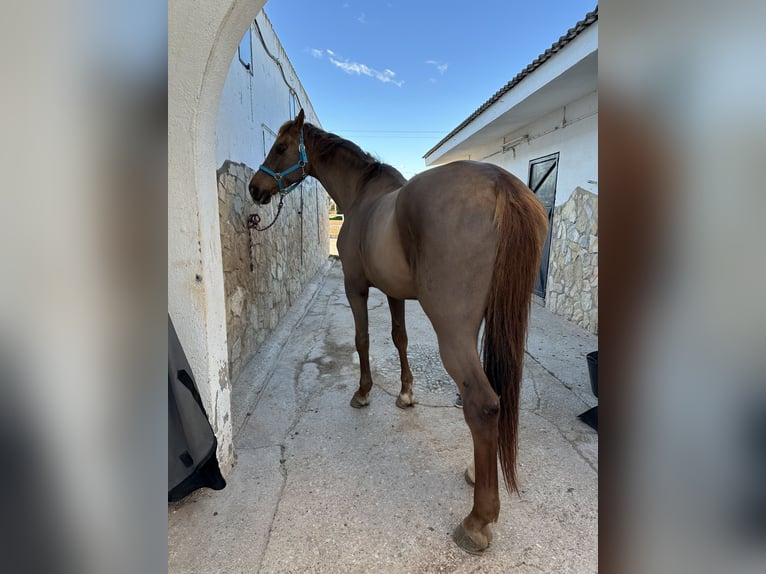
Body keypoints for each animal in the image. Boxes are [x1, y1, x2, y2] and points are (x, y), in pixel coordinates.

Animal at [249, 110, 548, 556]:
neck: (362, 196)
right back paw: (476, 474)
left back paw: (478, 520)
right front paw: (406, 394)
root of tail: (500, 183)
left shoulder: (355, 286)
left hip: (452, 331)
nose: (256, 188)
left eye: (281, 146)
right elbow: (399, 338)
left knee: (483, 405)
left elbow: (364, 340)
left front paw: (363, 393)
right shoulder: (393, 293)